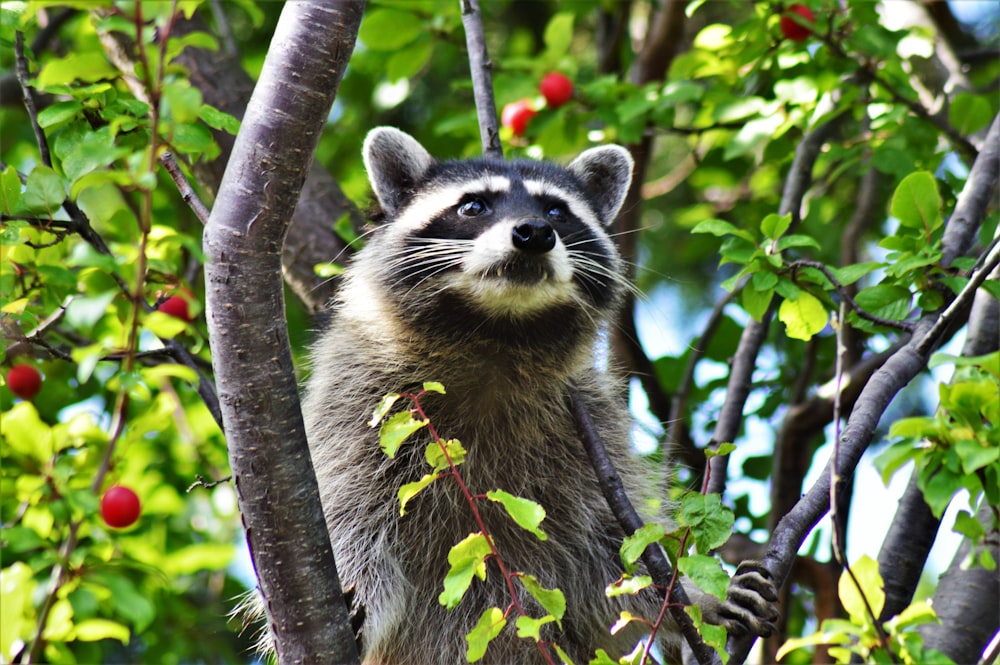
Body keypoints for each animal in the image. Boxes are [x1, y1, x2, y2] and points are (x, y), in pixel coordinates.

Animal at [292, 127, 776, 660]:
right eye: (474, 206)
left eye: (557, 211)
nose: (535, 232)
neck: (498, 333)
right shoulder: (360, 397)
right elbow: (348, 512)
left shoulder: (591, 424)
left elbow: (607, 566)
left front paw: (691, 599)